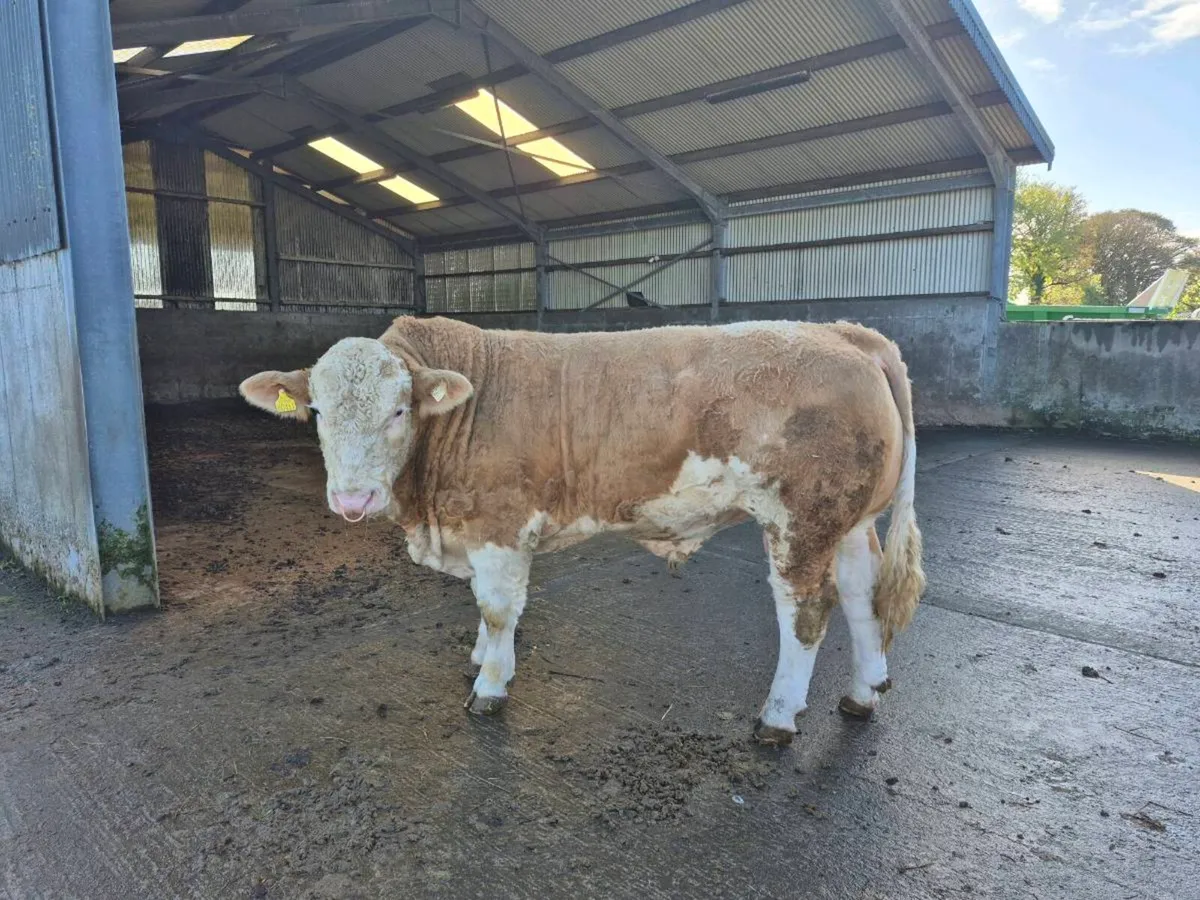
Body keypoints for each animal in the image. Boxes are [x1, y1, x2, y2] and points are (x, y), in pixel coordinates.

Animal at [240, 316, 925, 745]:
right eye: (316, 410)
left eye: (400, 410)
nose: (353, 497)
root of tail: (841, 333)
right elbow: (483, 609)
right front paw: (480, 660)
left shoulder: (501, 525)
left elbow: (497, 609)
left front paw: (491, 684)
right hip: (849, 520)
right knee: (862, 595)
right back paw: (863, 692)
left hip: (800, 520)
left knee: (806, 610)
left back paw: (778, 718)